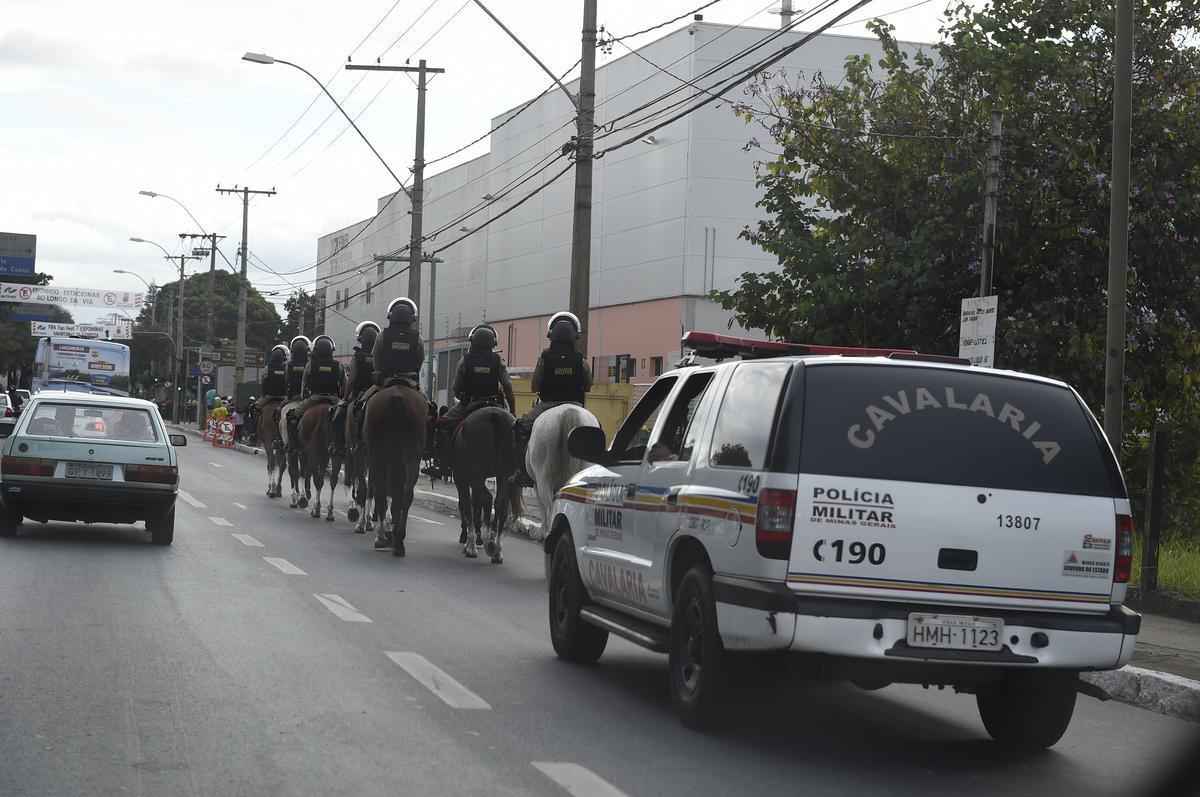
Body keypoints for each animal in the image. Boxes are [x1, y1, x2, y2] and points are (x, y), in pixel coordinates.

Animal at [362, 384, 429, 556]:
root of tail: (397, 397)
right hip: (411, 458)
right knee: (405, 493)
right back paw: (398, 540)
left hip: (379, 457)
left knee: (380, 491)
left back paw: (382, 536)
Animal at [451, 408, 513, 564]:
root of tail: (494, 415)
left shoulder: (461, 480)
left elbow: (468, 507)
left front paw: (470, 543)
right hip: (504, 474)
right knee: (500, 504)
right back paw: (496, 549)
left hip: (475, 476)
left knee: (483, 499)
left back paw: (480, 545)